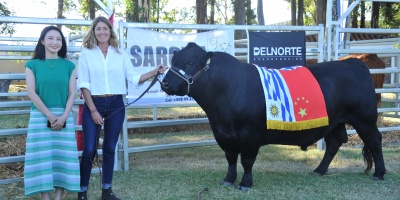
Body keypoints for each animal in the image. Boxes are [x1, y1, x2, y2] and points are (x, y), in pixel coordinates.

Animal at [159, 42, 384, 191]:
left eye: (190, 62)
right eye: (173, 60)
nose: (165, 83)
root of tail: (354, 62)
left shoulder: (250, 134)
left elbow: (247, 160)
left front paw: (245, 184)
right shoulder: (223, 134)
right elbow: (231, 158)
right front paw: (228, 180)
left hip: (364, 119)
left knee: (374, 141)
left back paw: (379, 173)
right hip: (335, 121)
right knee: (335, 142)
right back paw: (319, 170)